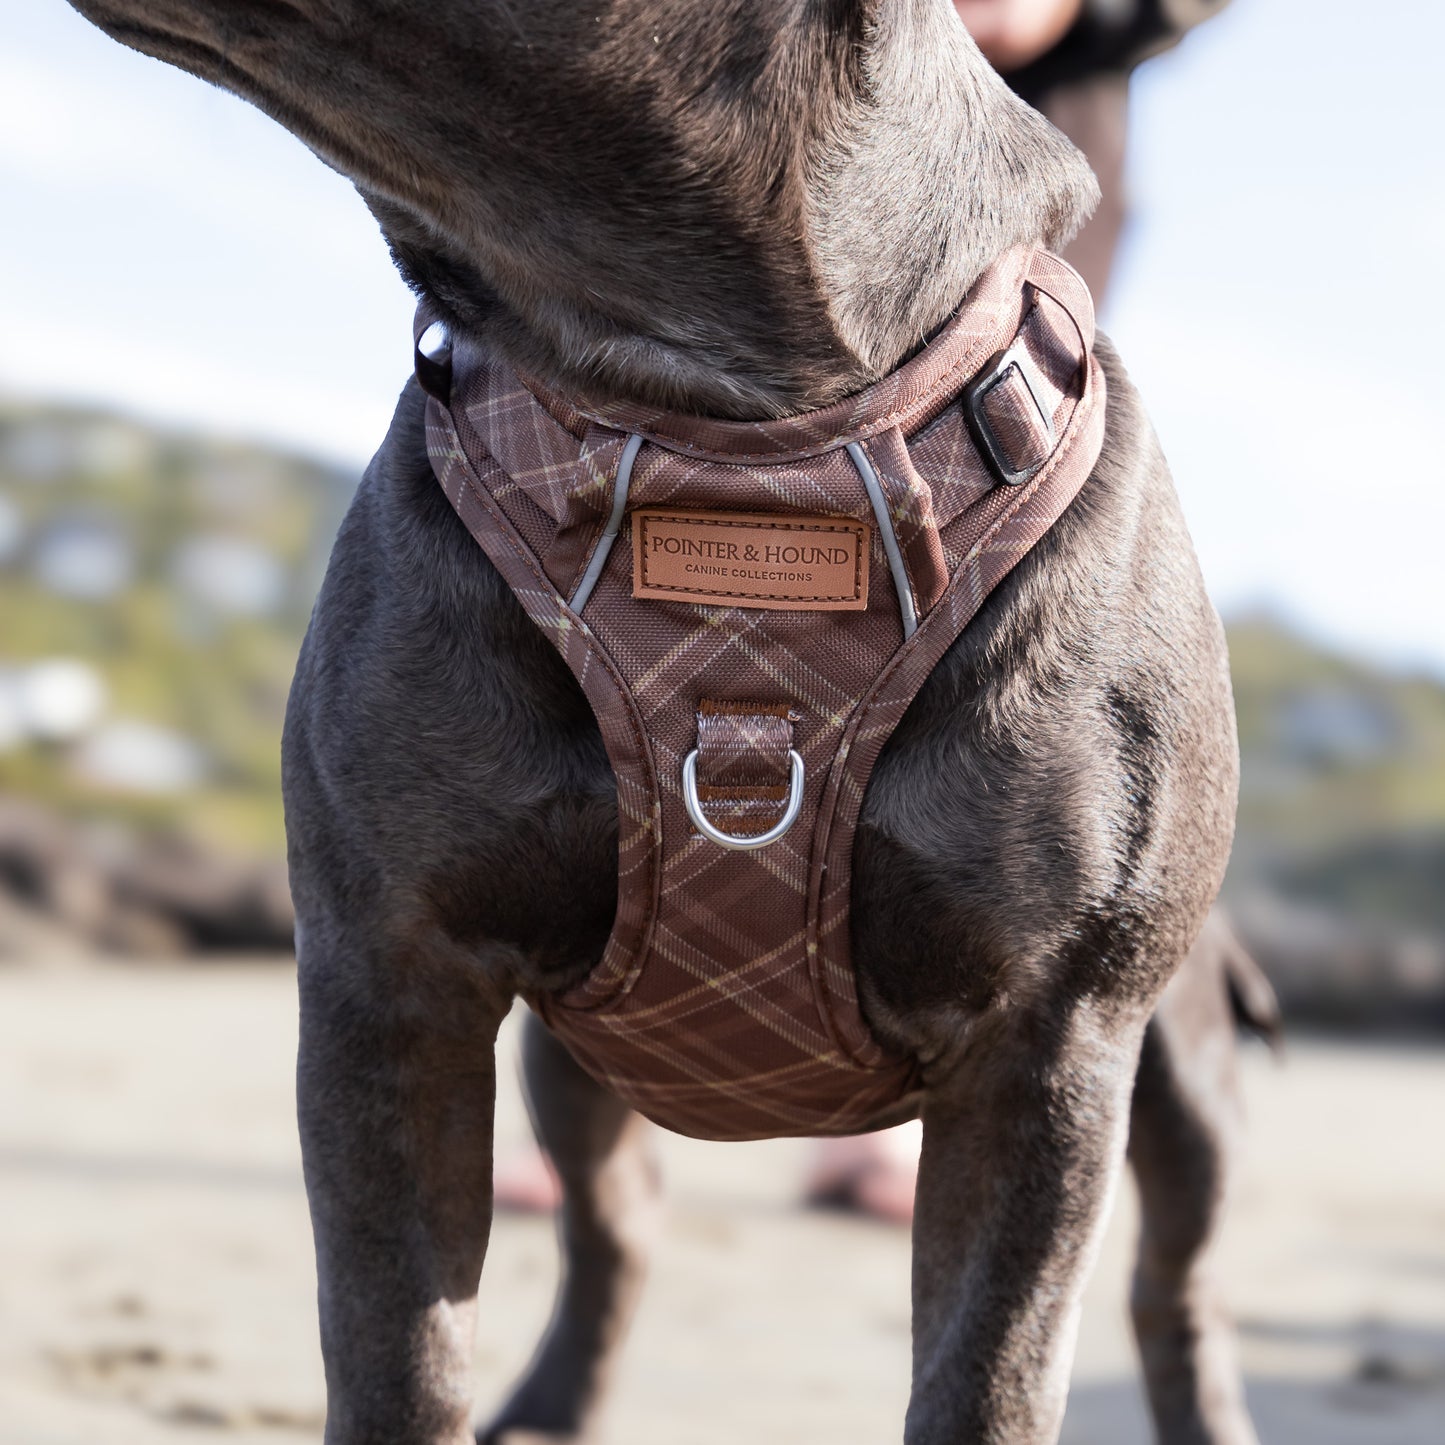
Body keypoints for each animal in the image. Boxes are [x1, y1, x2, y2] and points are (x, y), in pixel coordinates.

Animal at [62, 2, 1271, 1445]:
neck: (715, 412)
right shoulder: (391, 986)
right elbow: (397, 1347)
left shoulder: (1047, 1042)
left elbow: (990, 1373)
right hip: (575, 1057)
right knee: (614, 1226)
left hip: (1182, 1067)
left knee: (1176, 1283)